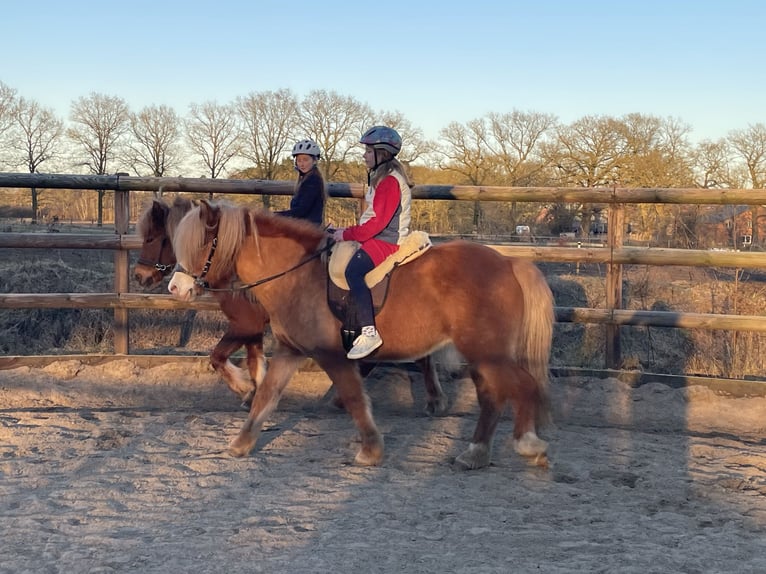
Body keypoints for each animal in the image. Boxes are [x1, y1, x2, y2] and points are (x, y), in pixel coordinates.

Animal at [134, 196, 447, 414]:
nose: (140, 276)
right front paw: (255, 392)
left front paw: (245, 390)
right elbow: (254, 360)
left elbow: (218, 357)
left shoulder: (245, 323)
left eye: (153, 238)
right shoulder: (254, 327)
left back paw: (433, 400)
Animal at [169, 200, 554, 470]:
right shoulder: (291, 350)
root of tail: (509, 263)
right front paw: (241, 443)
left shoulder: (331, 355)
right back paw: (476, 453)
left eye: (201, 244)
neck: (297, 274)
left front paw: (370, 449)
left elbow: (354, 397)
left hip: (487, 352)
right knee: (493, 395)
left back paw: (527, 443)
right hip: (482, 354)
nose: (176, 287)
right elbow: (266, 395)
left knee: (521, 386)